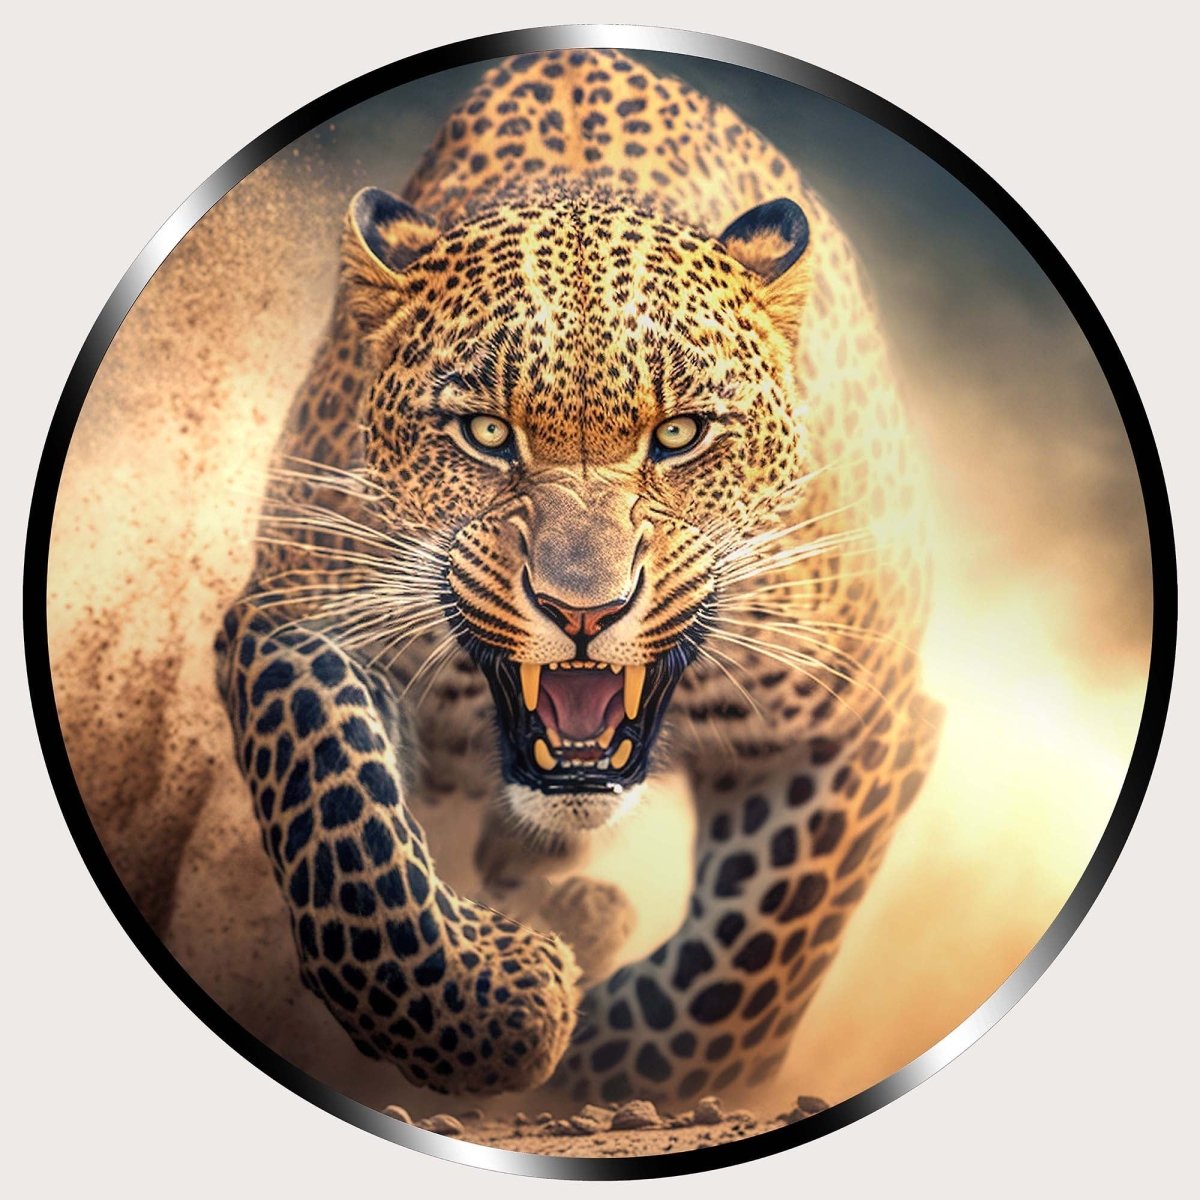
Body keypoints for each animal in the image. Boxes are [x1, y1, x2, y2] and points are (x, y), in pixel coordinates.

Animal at [214, 46, 943, 1107]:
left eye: (680, 434)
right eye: (485, 432)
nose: (583, 611)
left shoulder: (867, 709)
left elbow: (751, 960)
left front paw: (597, 1047)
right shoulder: (299, 612)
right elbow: (342, 816)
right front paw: (502, 999)